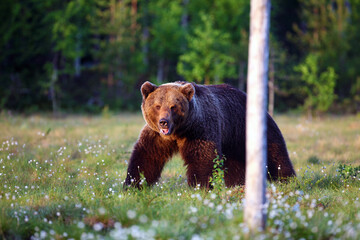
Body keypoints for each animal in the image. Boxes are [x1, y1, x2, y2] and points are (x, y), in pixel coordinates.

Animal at [124, 81, 296, 188]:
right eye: (157, 106)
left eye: (173, 106)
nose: (163, 122)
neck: (178, 132)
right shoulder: (157, 136)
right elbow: (146, 157)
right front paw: (133, 185)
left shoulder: (200, 130)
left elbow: (202, 158)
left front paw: (200, 186)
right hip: (232, 141)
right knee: (235, 164)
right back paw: (237, 184)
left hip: (248, 128)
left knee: (275, 154)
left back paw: (287, 179)